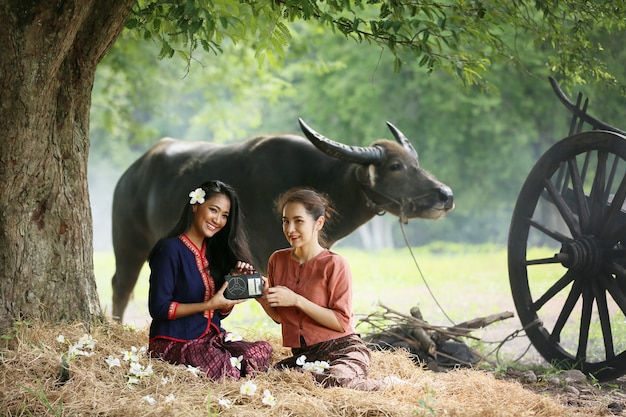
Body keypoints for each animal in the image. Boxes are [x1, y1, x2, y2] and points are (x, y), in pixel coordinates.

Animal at [111, 118, 454, 320]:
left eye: (415, 162)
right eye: (396, 166)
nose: (446, 195)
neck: (323, 180)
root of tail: (130, 176)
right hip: (128, 241)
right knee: (122, 284)